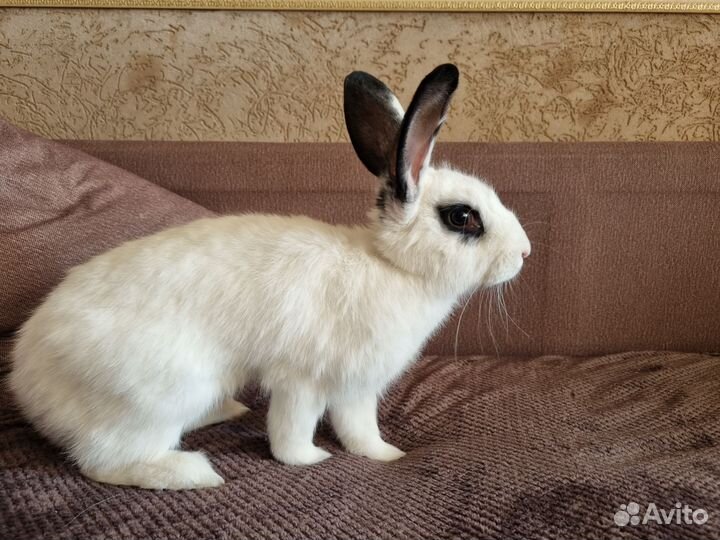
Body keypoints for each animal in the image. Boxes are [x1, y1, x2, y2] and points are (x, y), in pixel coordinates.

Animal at [10, 64, 531, 490]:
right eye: (462, 217)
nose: (524, 253)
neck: (390, 265)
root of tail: (27, 380)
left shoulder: (356, 388)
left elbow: (360, 431)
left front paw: (389, 455)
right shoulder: (302, 379)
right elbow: (290, 432)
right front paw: (311, 460)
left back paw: (226, 412)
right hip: (160, 394)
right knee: (104, 461)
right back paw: (194, 473)